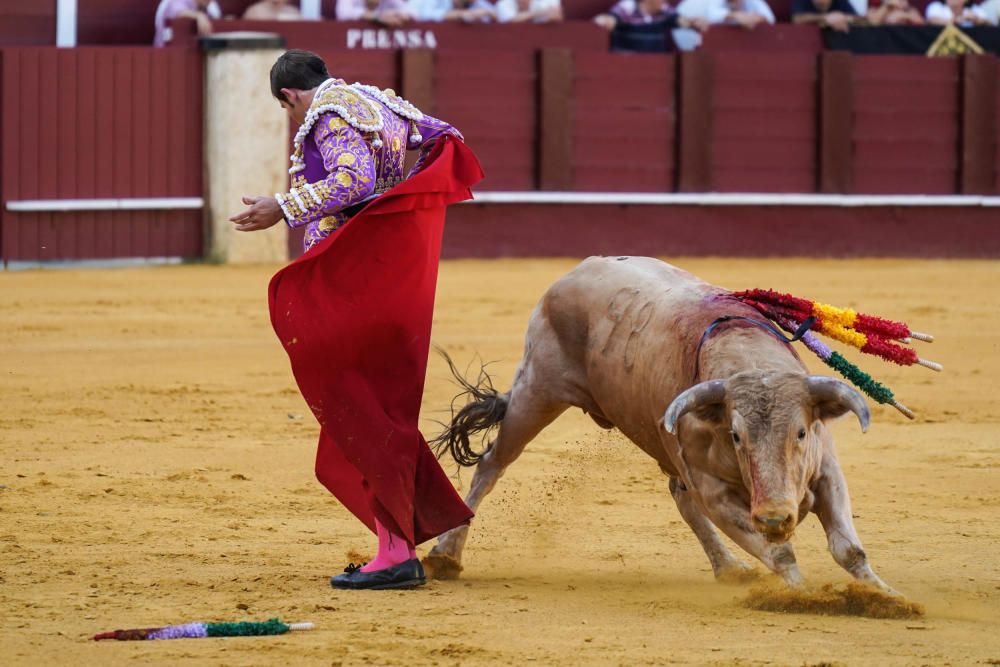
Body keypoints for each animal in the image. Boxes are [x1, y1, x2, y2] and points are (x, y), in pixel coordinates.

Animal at [426, 258, 896, 592]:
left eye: (801, 431)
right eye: (736, 435)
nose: (776, 517)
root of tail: (574, 272)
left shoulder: (826, 471)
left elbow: (849, 550)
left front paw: (887, 596)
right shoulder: (715, 493)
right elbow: (780, 556)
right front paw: (806, 595)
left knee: (680, 499)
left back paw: (730, 568)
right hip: (537, 391)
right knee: (491, 465)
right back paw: (445, 555)